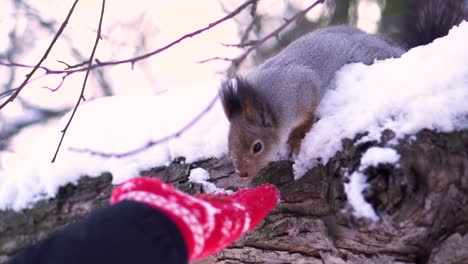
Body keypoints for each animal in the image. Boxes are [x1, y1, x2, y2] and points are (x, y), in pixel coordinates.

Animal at [220, 0, 468, 177]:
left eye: (257, 147)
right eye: (229, 144)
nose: (241, 173)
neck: (267, 100)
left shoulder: (302, 88)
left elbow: (308, 114)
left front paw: (297, 137)